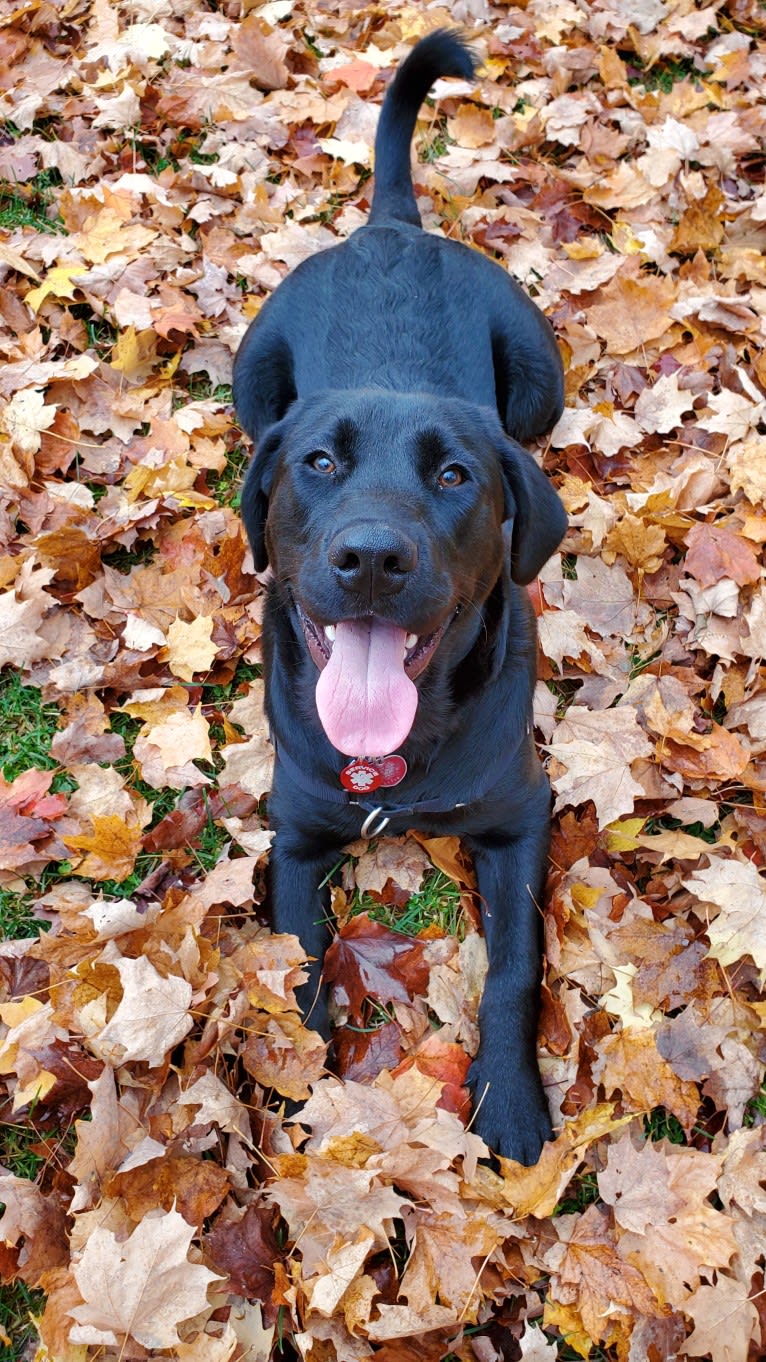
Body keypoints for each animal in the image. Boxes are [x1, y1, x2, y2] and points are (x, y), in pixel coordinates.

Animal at [228, 29, 564, 1160]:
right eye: (321, 464)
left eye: (456, 475)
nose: (371, 557)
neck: (392, 765)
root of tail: (390, 227)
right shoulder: (296, 835)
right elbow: (292, 968)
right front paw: (296, 1087)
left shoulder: (522, 817)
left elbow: (514, 970)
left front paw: (511, 1100)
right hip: (250, 378)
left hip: (541, 378)